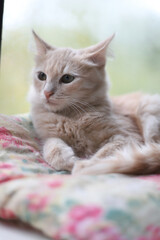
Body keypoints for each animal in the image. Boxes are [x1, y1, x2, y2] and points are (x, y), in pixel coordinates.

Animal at [28, 31, 160, 175]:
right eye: (42, 76)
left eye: (67, 78)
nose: (47, 93)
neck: (71, 116)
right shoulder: (47, 135)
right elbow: (52, 146)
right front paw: (66, 160)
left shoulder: (128, 137)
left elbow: (104, 156)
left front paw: (84, 165)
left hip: (148, 111)